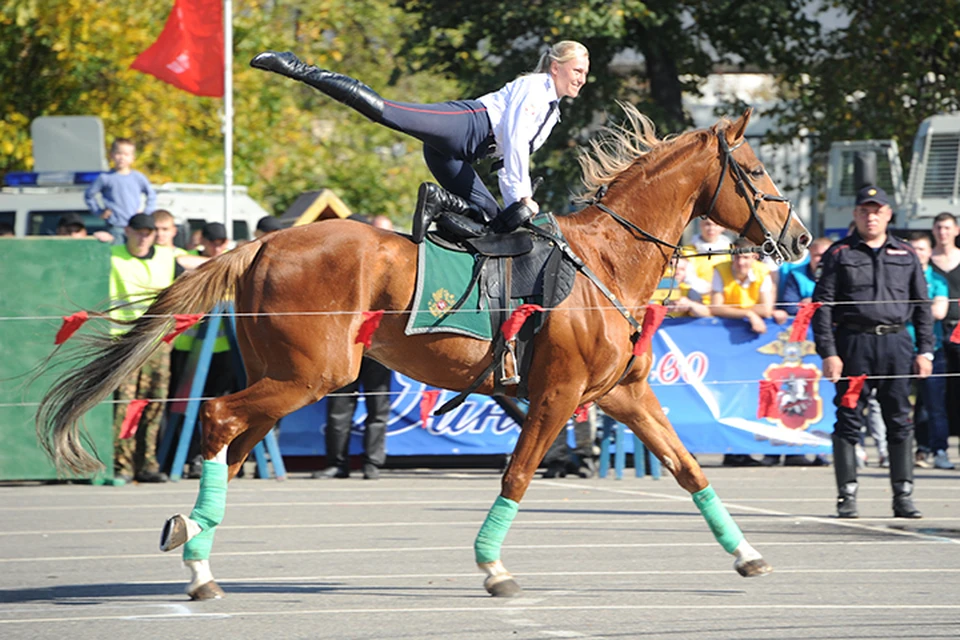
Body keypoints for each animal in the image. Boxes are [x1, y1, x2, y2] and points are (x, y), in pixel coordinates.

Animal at [35, 105, 808, 600]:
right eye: (754, 169)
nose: (800, 239)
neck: (606, 261)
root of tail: (260, 243)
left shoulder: (623, 394)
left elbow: (687, 469)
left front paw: (747, 554)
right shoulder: (556, 397)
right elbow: (517, 477)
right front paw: (492, 568)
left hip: (287, 378)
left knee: (229, 439)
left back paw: (194, 537)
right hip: (314, 376)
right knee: (219, 420)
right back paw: (197, 563)